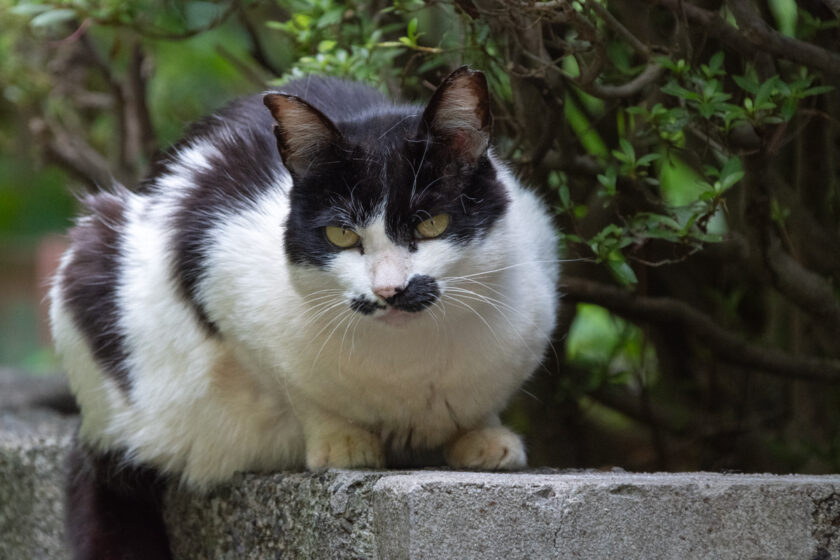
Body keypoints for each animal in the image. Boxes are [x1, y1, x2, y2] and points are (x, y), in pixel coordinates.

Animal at [47, 65, 556, 556]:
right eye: (341, 235)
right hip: (89, 263)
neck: (408, 369)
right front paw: (342, 442)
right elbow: (300, 393)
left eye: (431, 223)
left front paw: (484, 437)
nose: (389, 289)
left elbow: (480, 407)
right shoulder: (221, 280)